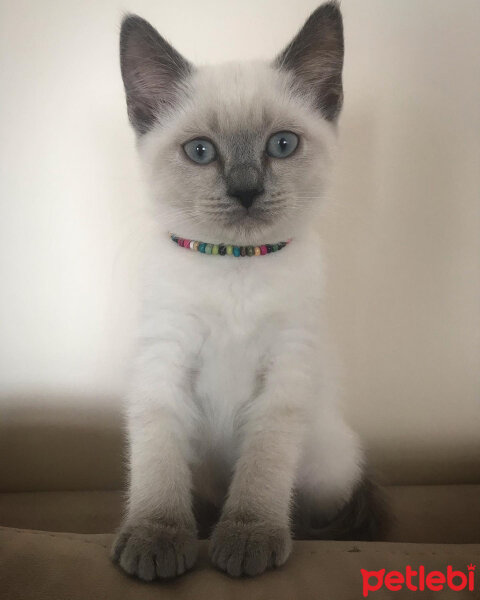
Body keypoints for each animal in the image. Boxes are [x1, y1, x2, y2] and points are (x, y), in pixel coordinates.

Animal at [111, 0, 386, 580]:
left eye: (282, 145)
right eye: (200, 152)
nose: (245, 190)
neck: (235, 264)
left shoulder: (285, 374)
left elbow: (263, 469)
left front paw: (248, 537)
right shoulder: (164, 365)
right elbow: (157, 466)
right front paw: (157, 536)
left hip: (327, 462)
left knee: (321, 505)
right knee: (201, 495)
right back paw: (199, 520)